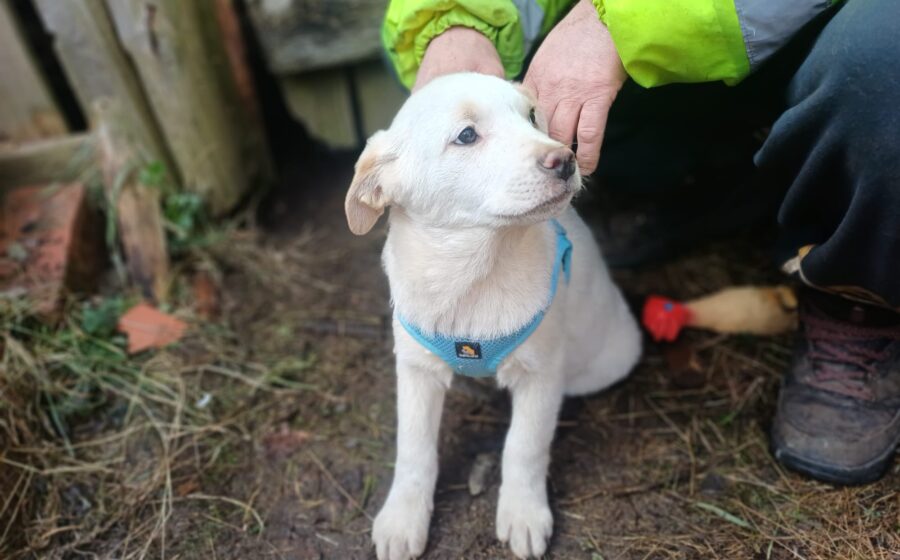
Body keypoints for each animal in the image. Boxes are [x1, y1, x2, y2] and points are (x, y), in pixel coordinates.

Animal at [345, 73, 641, 559]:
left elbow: (524, 446)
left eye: (532, 116)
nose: (565, 160)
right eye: (467, 136)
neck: (474, 271)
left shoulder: (541, 373)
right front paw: (403, 516)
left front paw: (523, 513)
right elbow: (414, 449)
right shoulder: (415, 370)